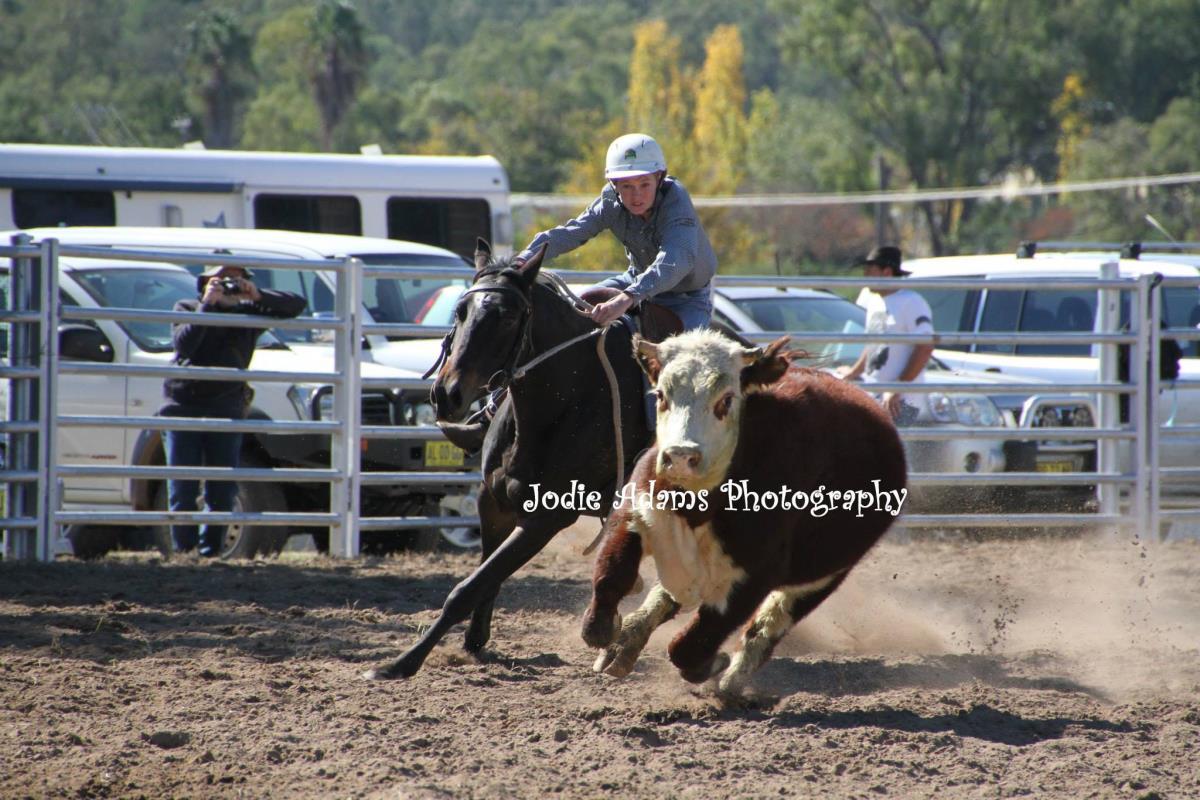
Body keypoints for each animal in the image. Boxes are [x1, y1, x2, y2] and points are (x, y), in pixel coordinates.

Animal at [581, 330, 908, 696]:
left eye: (725, 400)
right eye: (662, 395)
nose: (680, 456)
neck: (697, 507)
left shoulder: (756, 575)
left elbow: (692, 643)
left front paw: (711, 666)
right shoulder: (634, 512)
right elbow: (611, 576)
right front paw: (605, 631)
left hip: (826, 575)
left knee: (766, 626)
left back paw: (731, 682)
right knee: (667, 595)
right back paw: (625, 644)